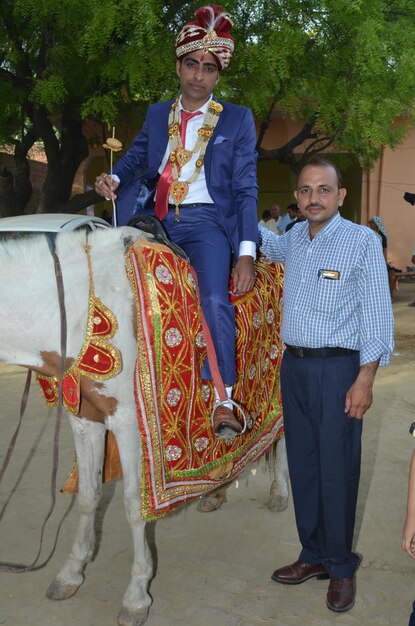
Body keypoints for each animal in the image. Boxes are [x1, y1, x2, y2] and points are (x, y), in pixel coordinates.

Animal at [0, 225, 288, 624]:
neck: (78, 306)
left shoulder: (128, 424)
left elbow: (134, 505)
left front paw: (136, 593)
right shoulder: (84, 418)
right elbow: (88, 496)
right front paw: (71, 572)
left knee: (282, 436)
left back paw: (279, 493)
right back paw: (214, 493)